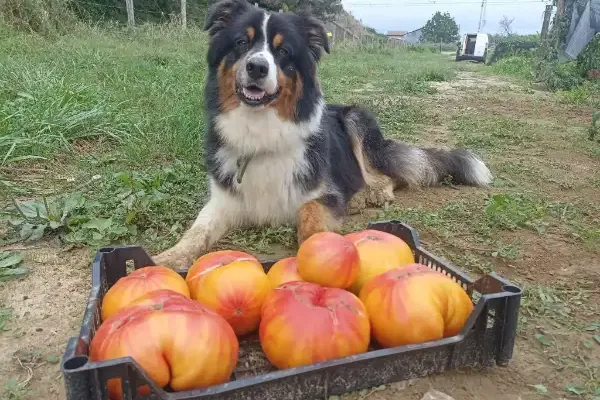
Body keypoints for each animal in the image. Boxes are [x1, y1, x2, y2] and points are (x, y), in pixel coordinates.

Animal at [154, 0, 492, 268]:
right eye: (240, 43)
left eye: (283, 51)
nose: (257, 68)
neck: (261, 128)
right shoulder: (224, 200)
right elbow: (197, 230)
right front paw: (168, 257)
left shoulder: (323, 192)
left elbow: (310, 209)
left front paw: (319, 243)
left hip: (356, 119)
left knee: (385, 174)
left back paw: (369, 194)